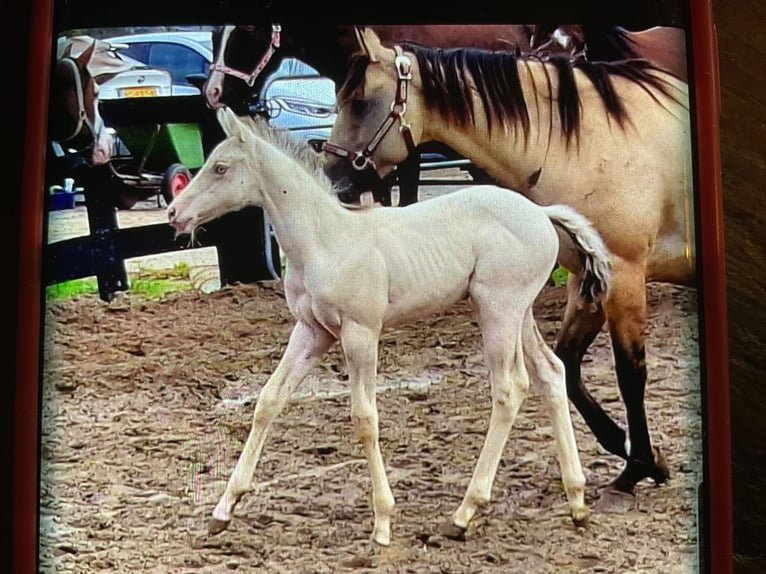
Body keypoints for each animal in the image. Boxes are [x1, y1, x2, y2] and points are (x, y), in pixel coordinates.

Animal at [167, 106, 614, 545]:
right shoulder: (312, 331)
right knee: (551, 373)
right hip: (519, 313)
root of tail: (541, 212)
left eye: (221, 167)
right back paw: (576, 500)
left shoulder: (360, 332)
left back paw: (464, 512)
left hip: (498, 310)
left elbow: (364, 418)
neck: (325, 241)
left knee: (509, 389)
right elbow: (268, 401)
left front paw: (382, 521)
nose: (174, 214)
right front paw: (223, 509)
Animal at [322, 28, 693, 501]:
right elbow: (568, 365)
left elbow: (630, 373)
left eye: (359, 102)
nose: (333, 177)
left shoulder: (625, 276)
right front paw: (634, 452)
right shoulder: (589, 281)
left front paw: (638, 466)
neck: (595, 141)